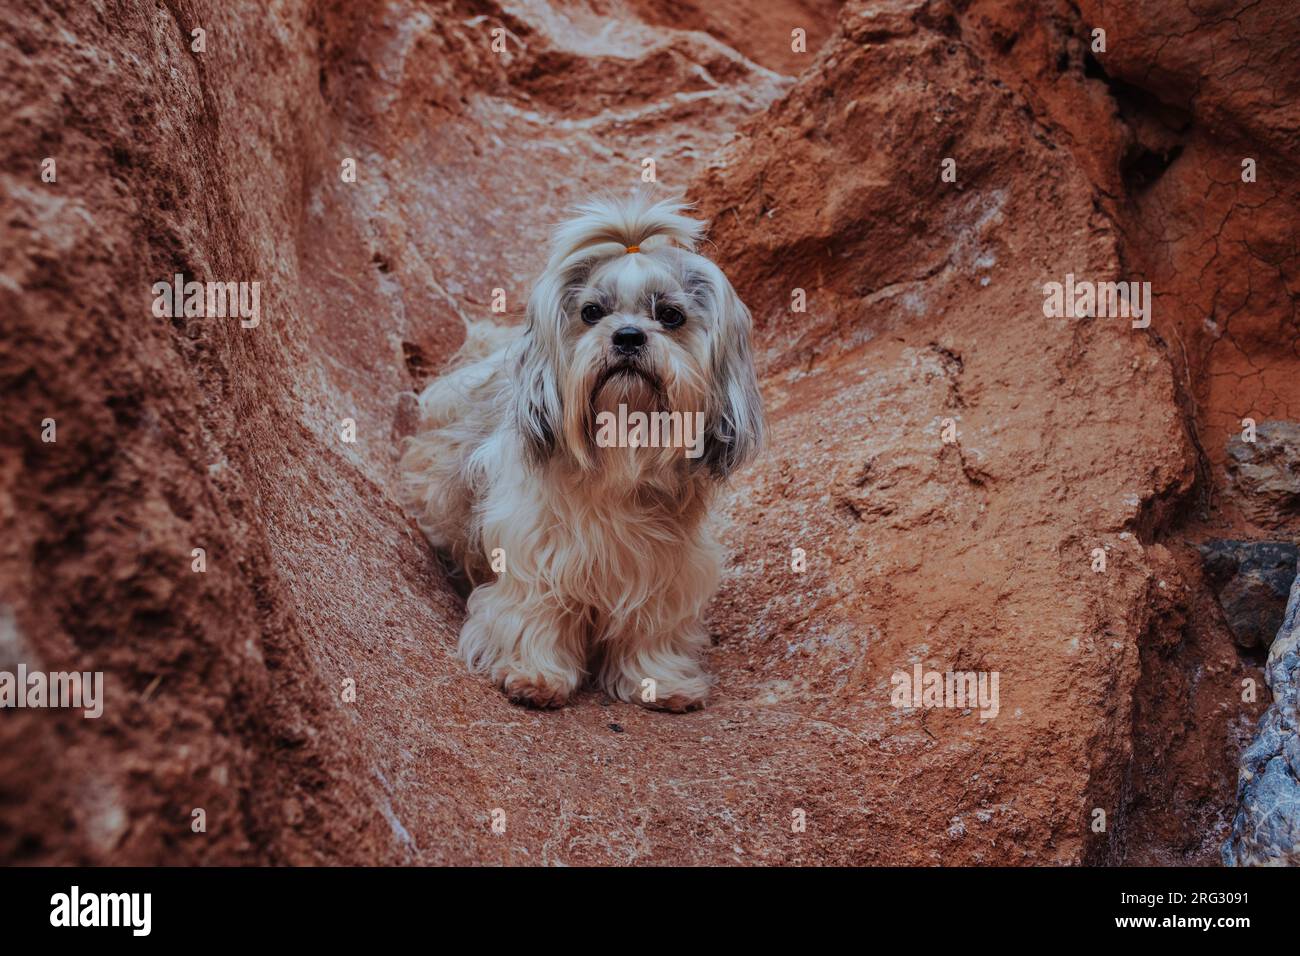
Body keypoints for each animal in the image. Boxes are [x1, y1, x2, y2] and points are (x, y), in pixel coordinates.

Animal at [395, 192, 759, 712]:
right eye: (591, 312)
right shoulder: (535, 549)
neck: (621, 449)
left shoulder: (667, 567)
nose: (627, 336)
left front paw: (659, 681)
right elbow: (537, 609)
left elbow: (653, 624)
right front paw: (535, 674)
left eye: (669, 315)